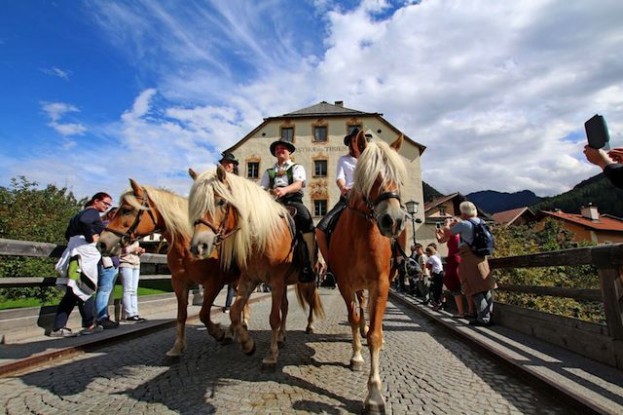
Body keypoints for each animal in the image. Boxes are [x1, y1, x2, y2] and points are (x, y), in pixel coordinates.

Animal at [96, 179, 245, 358]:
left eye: (126, 210)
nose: (102, 243)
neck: (187, 243)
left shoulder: (213, 283)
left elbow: (203, 313)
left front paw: (218, 332)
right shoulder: (179, 282)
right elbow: (181, 315)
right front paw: (177, 347)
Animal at [186, 166, 324, 370]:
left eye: (221, 201)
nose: (198, 246)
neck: (263, 235)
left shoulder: (275, 282)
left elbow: (273, 318)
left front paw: (271, 356)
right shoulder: (249, 280)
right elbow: (235, 311)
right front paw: (247, 344)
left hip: (308, 280)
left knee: (311, 301)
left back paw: (310, 326)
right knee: (285, 306)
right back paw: (281, 336)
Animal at [330, 132, 412, 414]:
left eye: (399, 177)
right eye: (372, 176)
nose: (394, 221)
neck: (361, 235)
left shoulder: (381, 284)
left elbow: (375, 334)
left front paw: (375, 395)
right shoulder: (344, 284)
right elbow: (354, 318)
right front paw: (356, 357)